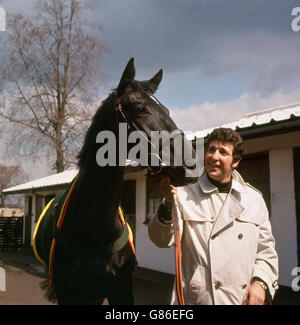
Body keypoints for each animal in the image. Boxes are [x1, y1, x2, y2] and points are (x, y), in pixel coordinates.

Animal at [33, 58, 199, 304]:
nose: (191, 164)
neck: (94, 232)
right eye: (140, 108)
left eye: (167, 110)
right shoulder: (69, 294)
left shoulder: (121, 289)